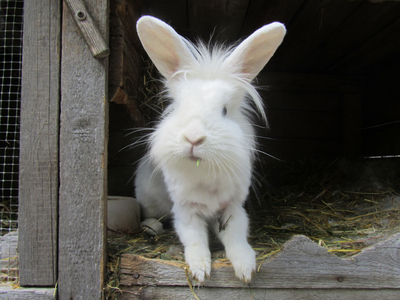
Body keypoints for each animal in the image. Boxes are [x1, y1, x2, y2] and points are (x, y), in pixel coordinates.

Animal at [134, 15, 284, 284]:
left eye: (224, 110)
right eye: (179, 106)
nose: (194, 138)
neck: (204, 170)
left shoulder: (232, 208)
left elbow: (236, 235)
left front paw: (246, 269)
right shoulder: (185, 211)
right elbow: (194, 239)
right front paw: (200, 270)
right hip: (147, 197)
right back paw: (153, 227)